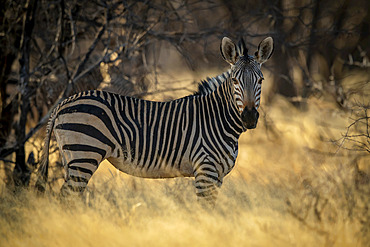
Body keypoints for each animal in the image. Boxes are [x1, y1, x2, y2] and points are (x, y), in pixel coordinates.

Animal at [36, 36, 274, 206]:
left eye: (261, 80)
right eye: (234, 81)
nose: (249, 117)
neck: (218, 120)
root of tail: (64, 101)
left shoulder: (218, 177)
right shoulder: (205, 171)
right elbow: (205, 211)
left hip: (71, 157)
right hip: (84, 155)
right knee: (65, 199)